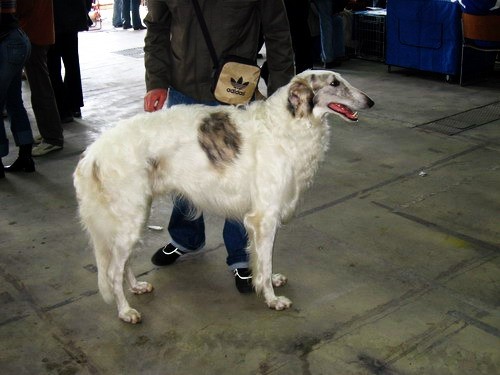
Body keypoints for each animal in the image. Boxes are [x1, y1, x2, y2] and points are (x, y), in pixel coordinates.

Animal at [73, 70, 372, 324]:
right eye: (334, 83)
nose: (370, 101)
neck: (288, 123)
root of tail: (92, 154)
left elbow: (261, 262)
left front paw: (268, 281)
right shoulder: (264, 217)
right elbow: (264, 263)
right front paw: (272, 299)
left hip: (133, 217)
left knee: (122, 265)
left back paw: (137, 287)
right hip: (131, 217)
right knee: (113, 271)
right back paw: (125, 311)